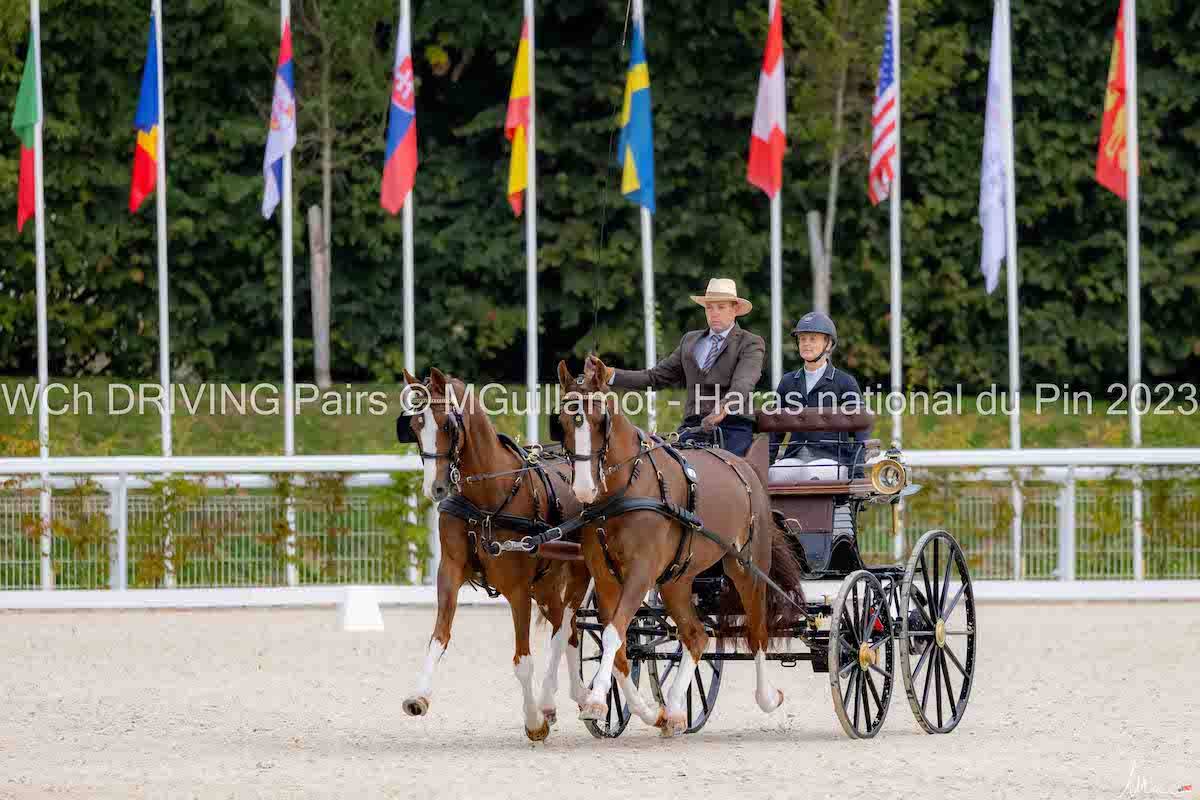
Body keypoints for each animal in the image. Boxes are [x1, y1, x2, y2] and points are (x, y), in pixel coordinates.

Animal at [398, 368, 593, 742]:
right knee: (569, 628)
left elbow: (523, 661)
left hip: (579, 575)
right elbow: (439, 637)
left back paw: (566, 701)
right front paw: (419, 696)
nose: (435, 488)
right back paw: (570, 699)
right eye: (414, 426)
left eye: (447, 425)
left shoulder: (517, 589)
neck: (487, 499)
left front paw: (533, 722)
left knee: (567, 626)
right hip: (546, 584)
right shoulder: (450, 572)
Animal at [557, 355, 804, 737]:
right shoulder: (606, 575)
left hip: (746, 566)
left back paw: (766, 697)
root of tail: (746, 465)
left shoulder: (641, 573)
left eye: (600, 420)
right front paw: (643, 710)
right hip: (677, 580)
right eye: (562, 422)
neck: (625, 490)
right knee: (696, 636)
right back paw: (673, 709)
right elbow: (619, 642)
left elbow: (613, 636)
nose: (584, 489)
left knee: (757, 631)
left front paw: (596, 701)